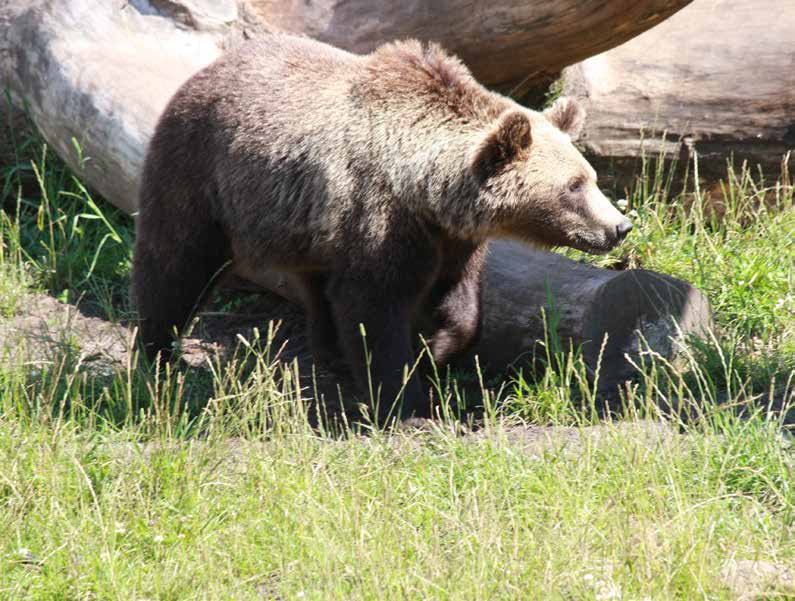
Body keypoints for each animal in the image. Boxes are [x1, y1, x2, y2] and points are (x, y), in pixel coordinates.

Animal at [137, 34, 636, 422]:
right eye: (573, 186)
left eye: (590, 176)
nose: (620, 227)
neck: (426, 190)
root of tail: (208, 69)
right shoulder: (380, 220)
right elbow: (372, 309)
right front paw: (406, 402)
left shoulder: (450, 239)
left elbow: (459, 302)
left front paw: (435, 348)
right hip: (201, 171)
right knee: (175, 260)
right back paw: (158, 353)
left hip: (304, 223)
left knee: (316, 287)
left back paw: (330, 355)